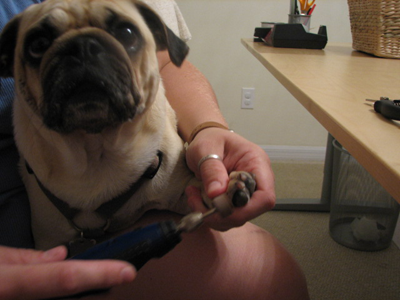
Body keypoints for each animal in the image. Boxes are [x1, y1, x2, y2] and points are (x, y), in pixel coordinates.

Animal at [0, 0, 256, 252]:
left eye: (127, 33)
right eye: (38, 44)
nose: (81, 45)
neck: (97, 152)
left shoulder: (182, 190)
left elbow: (201, 189)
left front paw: (231, 188)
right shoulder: (49, 241)